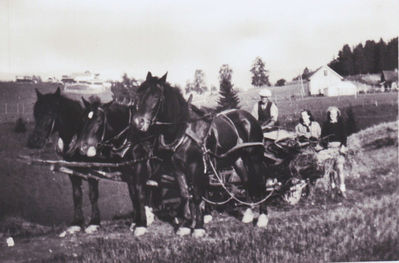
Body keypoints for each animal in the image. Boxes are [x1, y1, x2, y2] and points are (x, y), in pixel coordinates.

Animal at [26, 88, 101, 235]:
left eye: (50, 113)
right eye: (36, 113)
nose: (34, 141)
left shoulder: (93, 171)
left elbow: (93, 195)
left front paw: (94, 223)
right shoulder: (72, 171)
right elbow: (77, 195)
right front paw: (76, 223)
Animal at [133, 72, 270, 237]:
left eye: (155, 96)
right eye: (138, 94)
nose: (137, 122)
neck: (183, 130)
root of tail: (248, 117)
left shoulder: (195, 167)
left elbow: (198, 195)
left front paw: (198, 227)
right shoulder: (177, 168)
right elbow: (185, 194)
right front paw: (185, 225)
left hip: (255, 157)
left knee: (261, 181)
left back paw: (262, 217)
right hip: (238, 159)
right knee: (246, 180)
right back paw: (248, 214)